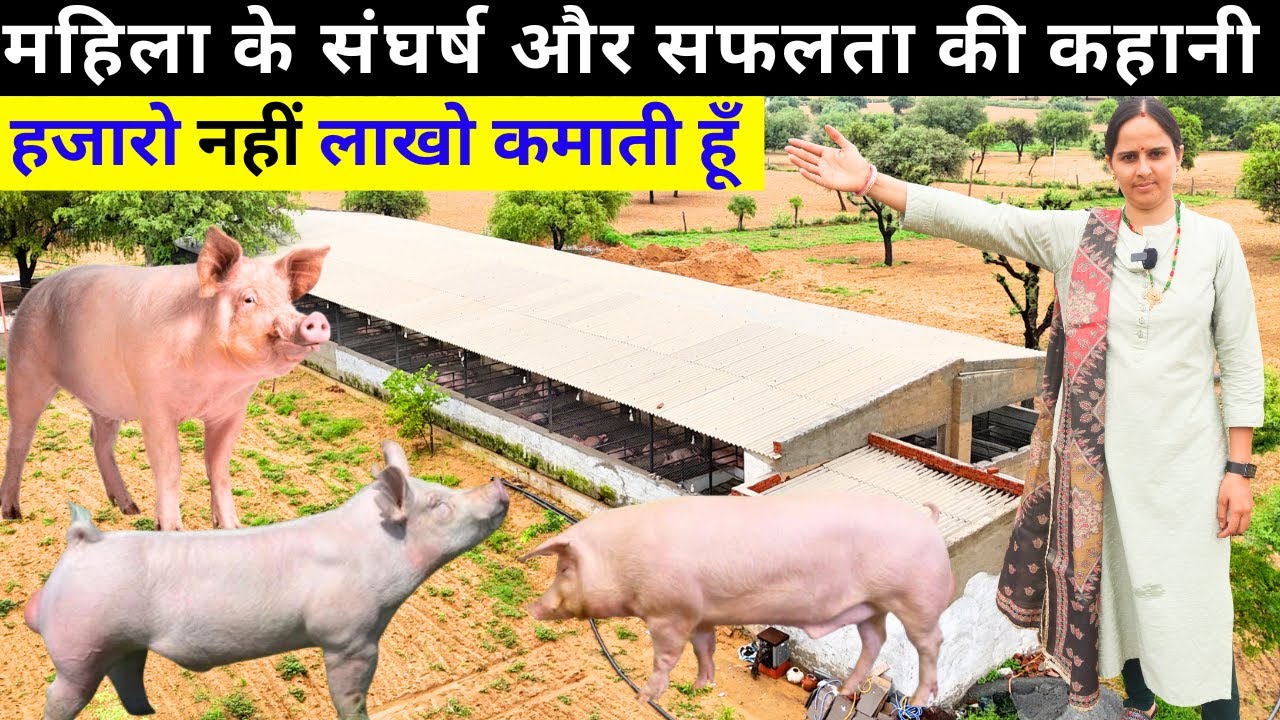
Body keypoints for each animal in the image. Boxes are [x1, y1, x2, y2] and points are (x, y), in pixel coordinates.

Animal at [2, 226, 331, 530]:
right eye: (248, 299)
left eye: (287, 300)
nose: (313, 319)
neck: (210, 384)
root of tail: (34, 292)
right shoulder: (154, 406)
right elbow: (170, 468)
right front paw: (170, 529)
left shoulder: (231, 411)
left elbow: (218, 468)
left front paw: (231, 527)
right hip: (25, 367)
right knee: (20, 436)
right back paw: (12, 514)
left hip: (104, 398)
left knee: (98, 438)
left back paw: (129, 508)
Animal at [26, 440, 509, 720]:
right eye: (439, 505)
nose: (499, 484)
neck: (372, 547)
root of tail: (82, 541)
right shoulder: (348, 636)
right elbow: (350, 695)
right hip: (79, 648)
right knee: (57, 694)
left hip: (120, 645)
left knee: (126, 678)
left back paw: (148, 711)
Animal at [519, 492, 953, 706]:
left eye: (564, 569)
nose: (533, 607)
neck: (623, 556)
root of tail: (929, 522)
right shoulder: (700, 615)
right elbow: (704, 648)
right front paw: (701, 685)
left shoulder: (669, 612)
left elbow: (666, 654)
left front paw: (645, 696)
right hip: (871, 608)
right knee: (875, 640)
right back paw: (847, 691)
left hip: (916, 598)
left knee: (930, 643)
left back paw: (919, 697)